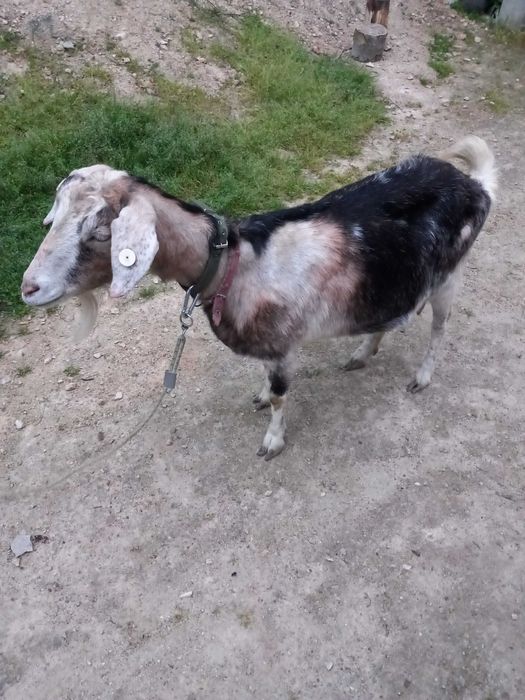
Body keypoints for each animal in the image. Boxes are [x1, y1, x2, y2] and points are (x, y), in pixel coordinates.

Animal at [21, 136, 496, 459]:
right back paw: (362, 353)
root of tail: (475, 185)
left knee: (439, 327)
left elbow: (283, 394)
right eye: (54, 218)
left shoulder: (285, 343)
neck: (235, 263)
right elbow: (267, 380)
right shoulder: (270, 343)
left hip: (449, 276)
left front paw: (272, 440)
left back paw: (422, 377)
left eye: (100, 231)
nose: (29, 288)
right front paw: (262, 395)